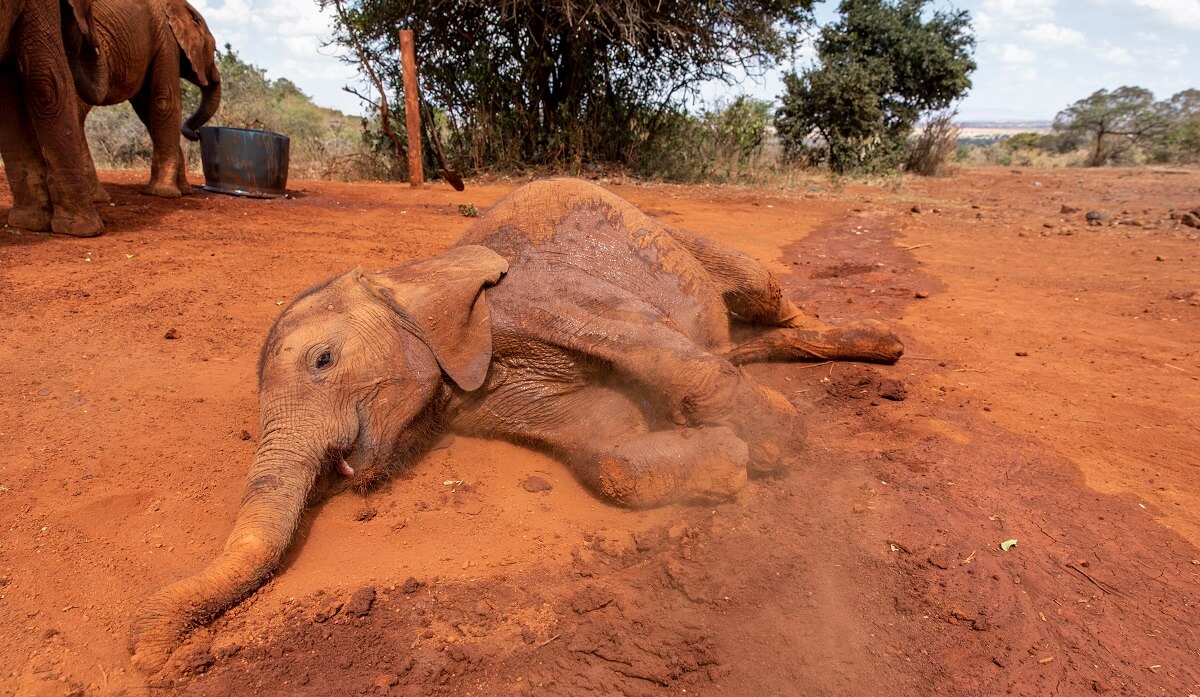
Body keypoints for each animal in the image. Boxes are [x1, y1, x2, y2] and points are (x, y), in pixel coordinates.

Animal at [129, 177, 902, 667]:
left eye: (323, 359)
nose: (146, 654)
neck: (411, 275)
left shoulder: (544, 297)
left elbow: (671, 360)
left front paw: (777, 447)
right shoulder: (492, 393)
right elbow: (607, 446)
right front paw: (729, 462)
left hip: (687, 242)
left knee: (759, 292)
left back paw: (880, 347)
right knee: (738, 341)